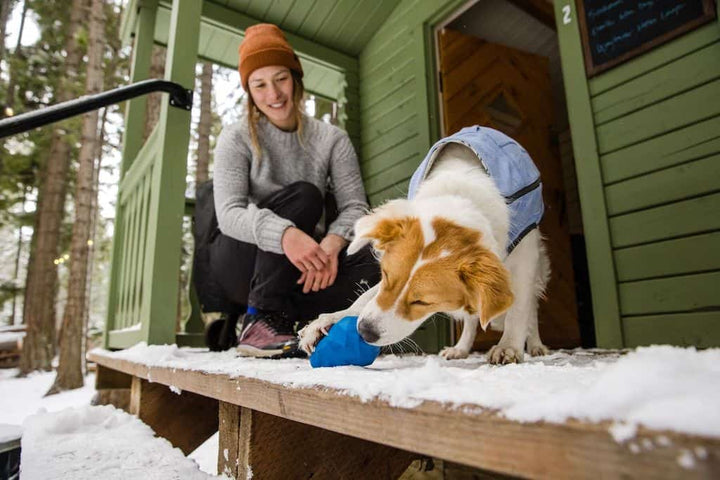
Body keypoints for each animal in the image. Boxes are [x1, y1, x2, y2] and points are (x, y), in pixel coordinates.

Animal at [298, 125, 552, 362]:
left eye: (422, 301)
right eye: (386, 276)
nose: (364, 331)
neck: (458, 197)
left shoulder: (525, 255)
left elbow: (520, 309)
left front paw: (509, 346)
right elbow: (365, 298)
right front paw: (328, 321)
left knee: (532, 307)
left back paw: (536, 345)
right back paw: (460, 348)